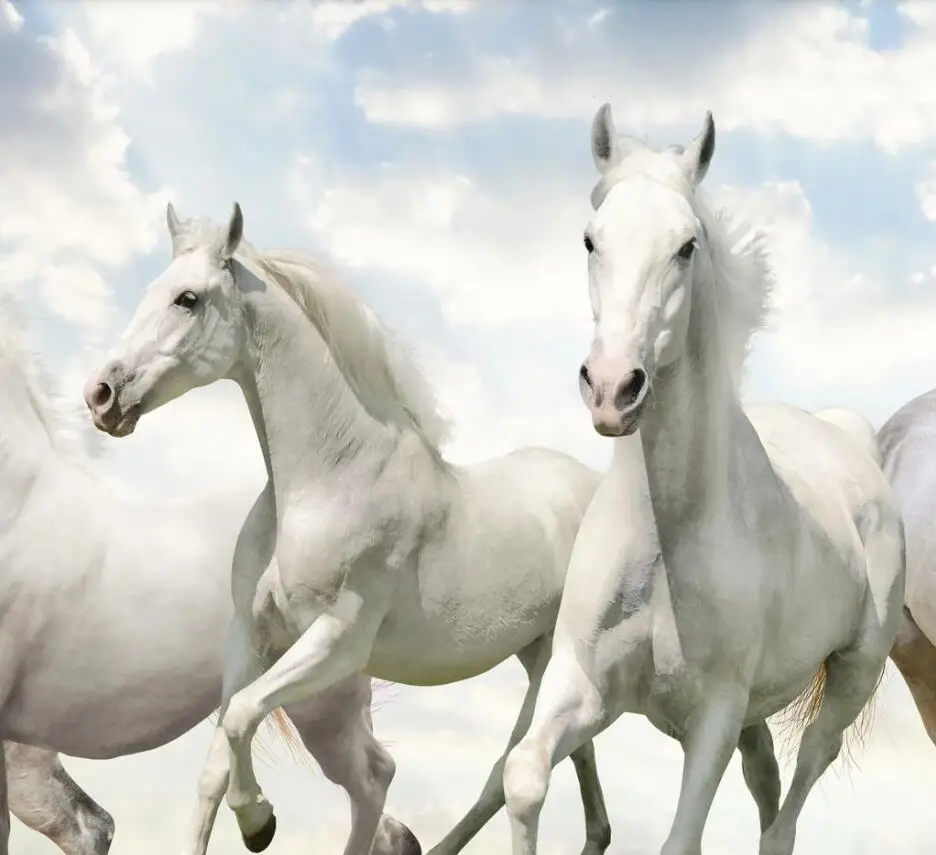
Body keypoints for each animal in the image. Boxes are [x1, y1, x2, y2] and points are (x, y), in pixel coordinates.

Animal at [81, 203, 613, 855]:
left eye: (188, 298)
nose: (101, 395)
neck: (329, 480)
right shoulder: (250, 637)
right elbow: (214, 763)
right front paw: (249, 815)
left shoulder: (336, 642)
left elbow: (243, 716)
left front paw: (259, 822)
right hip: (539, 657)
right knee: (569, 764)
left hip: (552, 664)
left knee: (504, 772)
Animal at [501, 103, 906, 855]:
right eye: (590, 239)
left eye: (686, 246)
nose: (612, 388)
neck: (665, 538)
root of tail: (847, 439)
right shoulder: (585, 688)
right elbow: (524, 776)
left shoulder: (713, 716)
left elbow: (680, 839)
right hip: (754, 717)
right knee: (768, 783)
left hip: (850, 680)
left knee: (794, 797)